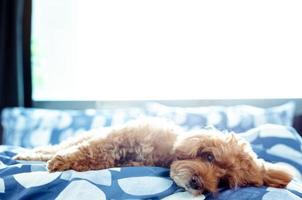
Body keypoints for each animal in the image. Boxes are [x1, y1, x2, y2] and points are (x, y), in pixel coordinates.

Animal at [13, 119, 292, 195]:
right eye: (209, 157)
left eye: (223, 181)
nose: (198, 184)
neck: (165, 152)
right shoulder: (120, 136)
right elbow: (91, 149)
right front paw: (61, 162)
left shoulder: (116, 156)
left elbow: (95, 157)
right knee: (58, 146)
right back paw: (27, 154)